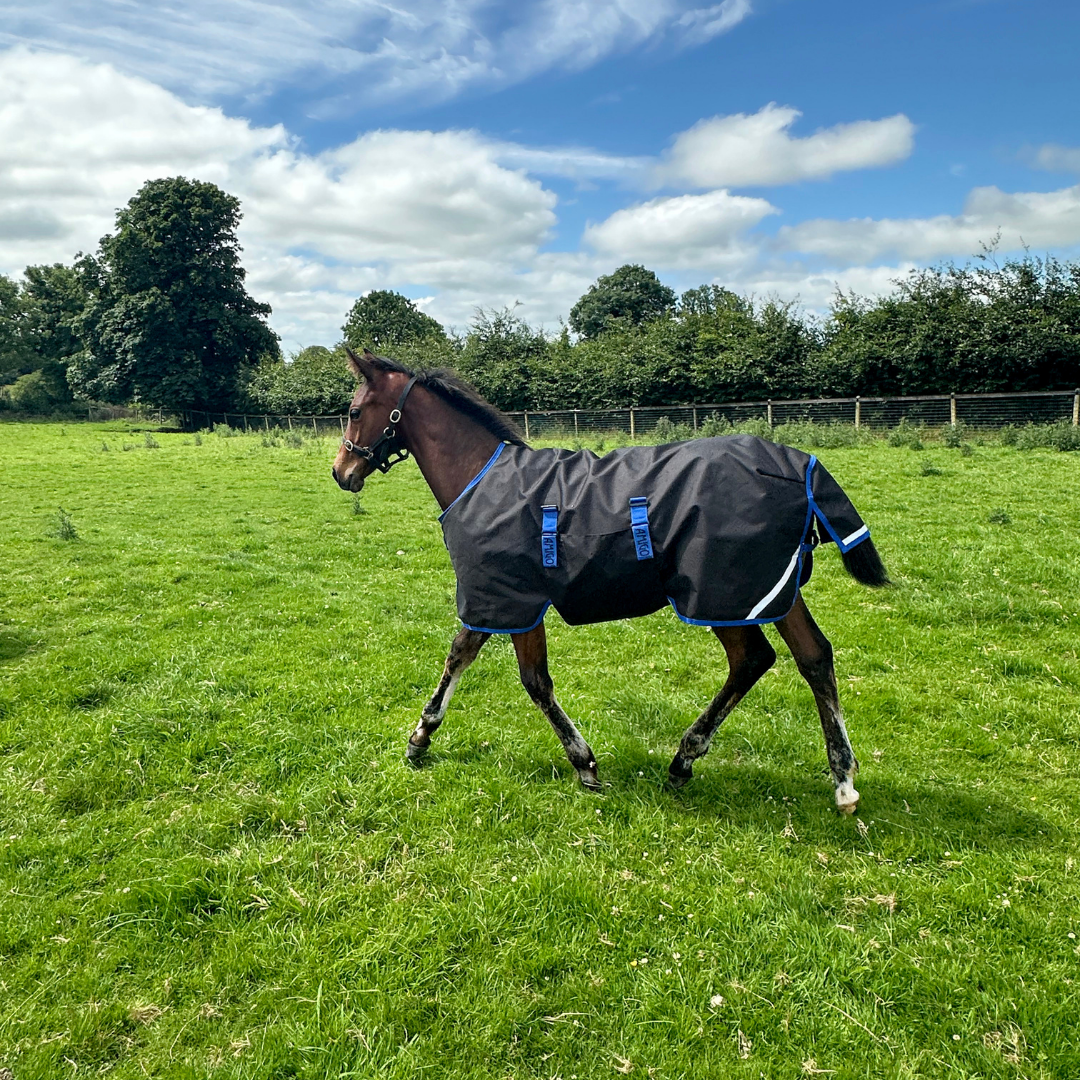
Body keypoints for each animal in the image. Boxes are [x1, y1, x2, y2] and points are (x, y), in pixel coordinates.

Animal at [332, 349, 889, 813]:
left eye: (356, 411)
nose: (342, 471)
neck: (481, 478)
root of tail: (799, 464)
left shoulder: (509, 599)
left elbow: (523, 677)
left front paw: (583, 763)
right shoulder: (503, 601)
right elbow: (472, 658)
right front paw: (422, 737)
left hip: (719, 595)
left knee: (753, 658)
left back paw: (685, 759)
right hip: (770, 590)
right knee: (814, 657)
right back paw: (842, 780)